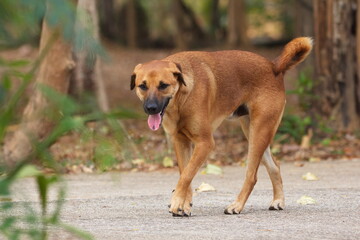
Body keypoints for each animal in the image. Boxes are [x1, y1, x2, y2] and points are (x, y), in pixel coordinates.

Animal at [130, 37, 312, 216]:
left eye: (163, 85)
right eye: (143, 86)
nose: (151, 108)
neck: (181, 98)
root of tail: (273, 66)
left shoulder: (205, 143)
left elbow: (187, 175)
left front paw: (177, 202)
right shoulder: (181, 142)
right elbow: (185, 174)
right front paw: (184, 205)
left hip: (259, 132)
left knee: (252, 176)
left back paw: (237, 205)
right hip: (254, 132)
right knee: (274, 166)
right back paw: (278, 201)